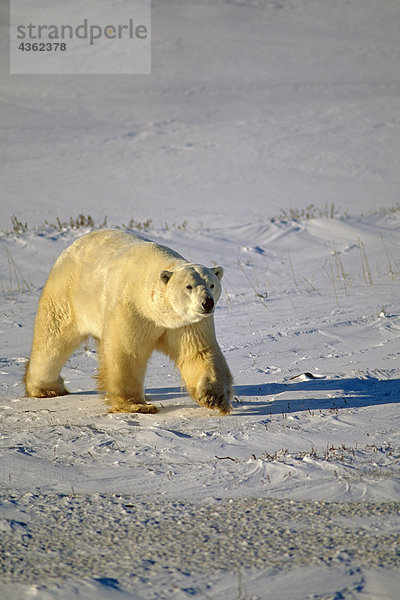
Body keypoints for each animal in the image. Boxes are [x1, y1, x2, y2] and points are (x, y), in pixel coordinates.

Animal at [24, 227, 231, 414]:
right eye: (189, 286)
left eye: (212, 284)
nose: (207, 303)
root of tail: (71, 247)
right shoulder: (131, 308)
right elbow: (127, 352)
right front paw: (137, 405)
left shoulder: (185, 322)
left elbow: (198, 352)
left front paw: (214, 398)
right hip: (68, 295)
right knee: (53, 339)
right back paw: (47, 388)